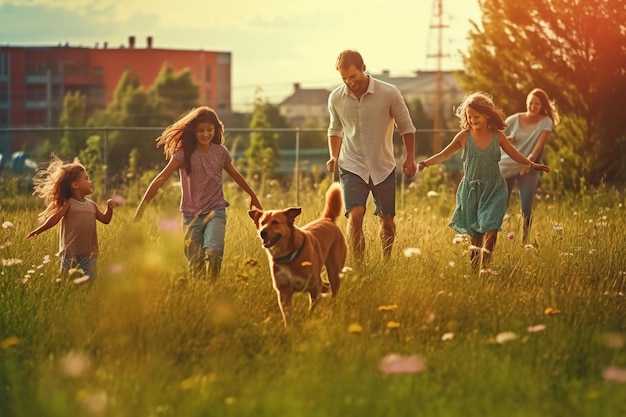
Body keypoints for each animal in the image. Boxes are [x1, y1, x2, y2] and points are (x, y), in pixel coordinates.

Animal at [247, 182, 346, 324]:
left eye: (275, 222)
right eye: (262, 223)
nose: (262, 232)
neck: (288, 256)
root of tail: (327, 220)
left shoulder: (314, 287)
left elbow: (312, 309)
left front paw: (310, 320)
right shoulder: (283, 292)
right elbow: (288, 315)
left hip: (334, 271)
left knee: (333, 289)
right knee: (326, 285)